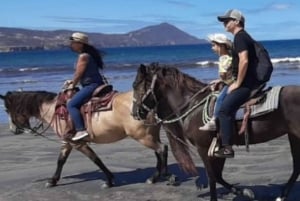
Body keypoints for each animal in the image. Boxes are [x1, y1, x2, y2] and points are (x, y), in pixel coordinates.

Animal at [0, 90, 173, 189]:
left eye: (8, 110)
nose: (12, 130)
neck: (55, 110)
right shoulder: (68, 142)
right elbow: (61, 160)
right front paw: (53, 180)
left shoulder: (78, 143)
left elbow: (95, 159)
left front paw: (109, 180)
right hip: (150, 135)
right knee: (159, 152)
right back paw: (155, 177)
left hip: (143, 136)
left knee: (162, 149)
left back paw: (164, 176)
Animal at [132, 63, 300, 201]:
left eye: (136, 86)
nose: (134, 113)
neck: (194, 106)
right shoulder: (219, 148)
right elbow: (218, 176)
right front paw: (245, 192)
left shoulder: (203, 148)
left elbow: (212, 177)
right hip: (293, 136)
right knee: (296, 168)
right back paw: (282, 195)